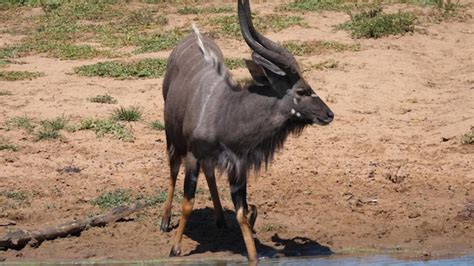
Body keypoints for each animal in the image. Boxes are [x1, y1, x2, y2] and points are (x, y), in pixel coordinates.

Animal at [160, 0, 334, 260]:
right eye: (302, 91)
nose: (329, 114)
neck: (227, 113)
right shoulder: (193, 155)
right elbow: (188, 202)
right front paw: (175, 249)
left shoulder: (237, 165)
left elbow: (243, 211)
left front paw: (253, 255)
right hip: (172, 137)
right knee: (173, 168)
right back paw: (164, 220)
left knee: (210, 174)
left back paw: (220, 219)